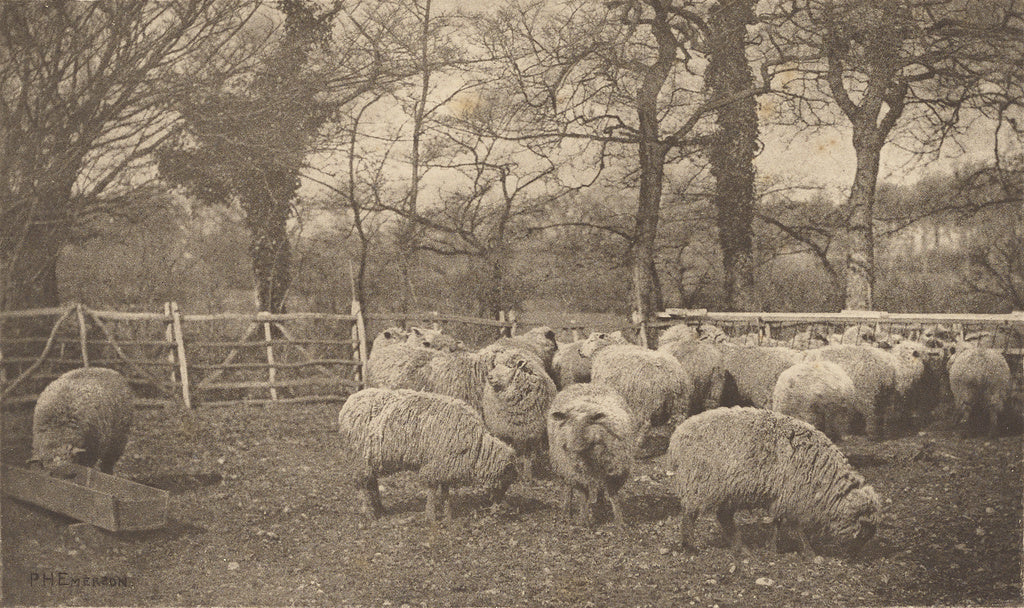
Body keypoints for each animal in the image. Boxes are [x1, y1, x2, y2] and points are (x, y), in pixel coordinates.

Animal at [337, 384, 520, 517]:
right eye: (506, 480)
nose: (499, 505)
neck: (479, 447)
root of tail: (349, 403)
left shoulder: (445, 465)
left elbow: (445, 491)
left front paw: (447, 513)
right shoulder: (435, 465)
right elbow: (432, 490)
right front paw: (431, 515)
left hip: (369, 459)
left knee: (371, 482)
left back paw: (380, 509)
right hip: (359, 457)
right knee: (363, 483)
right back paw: (369, 513)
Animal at [548, 382, 634, 524]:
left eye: (589, 422)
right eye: (568, 422)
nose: (575, 445)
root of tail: (586, 384)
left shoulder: (617, 470)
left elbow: (613, 495)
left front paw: (619, 522)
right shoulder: (576, 472)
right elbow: (583, 495)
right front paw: (583, 521)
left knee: (600, 487)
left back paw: (600, 503)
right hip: (563, 464)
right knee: (568, 486)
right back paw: (566, 512)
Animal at [667, 405, 884, 552]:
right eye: (865, 526)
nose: (855, 555)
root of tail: (677, 438)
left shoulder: (782, 495)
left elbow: (778, 522)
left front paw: (772, 548)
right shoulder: (793, 495)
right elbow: (795, 526)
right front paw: (808, 552)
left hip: (726, 489)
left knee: (723, 517)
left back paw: (741, 548)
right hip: (700, 482)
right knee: (690, 515)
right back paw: (691, 546)